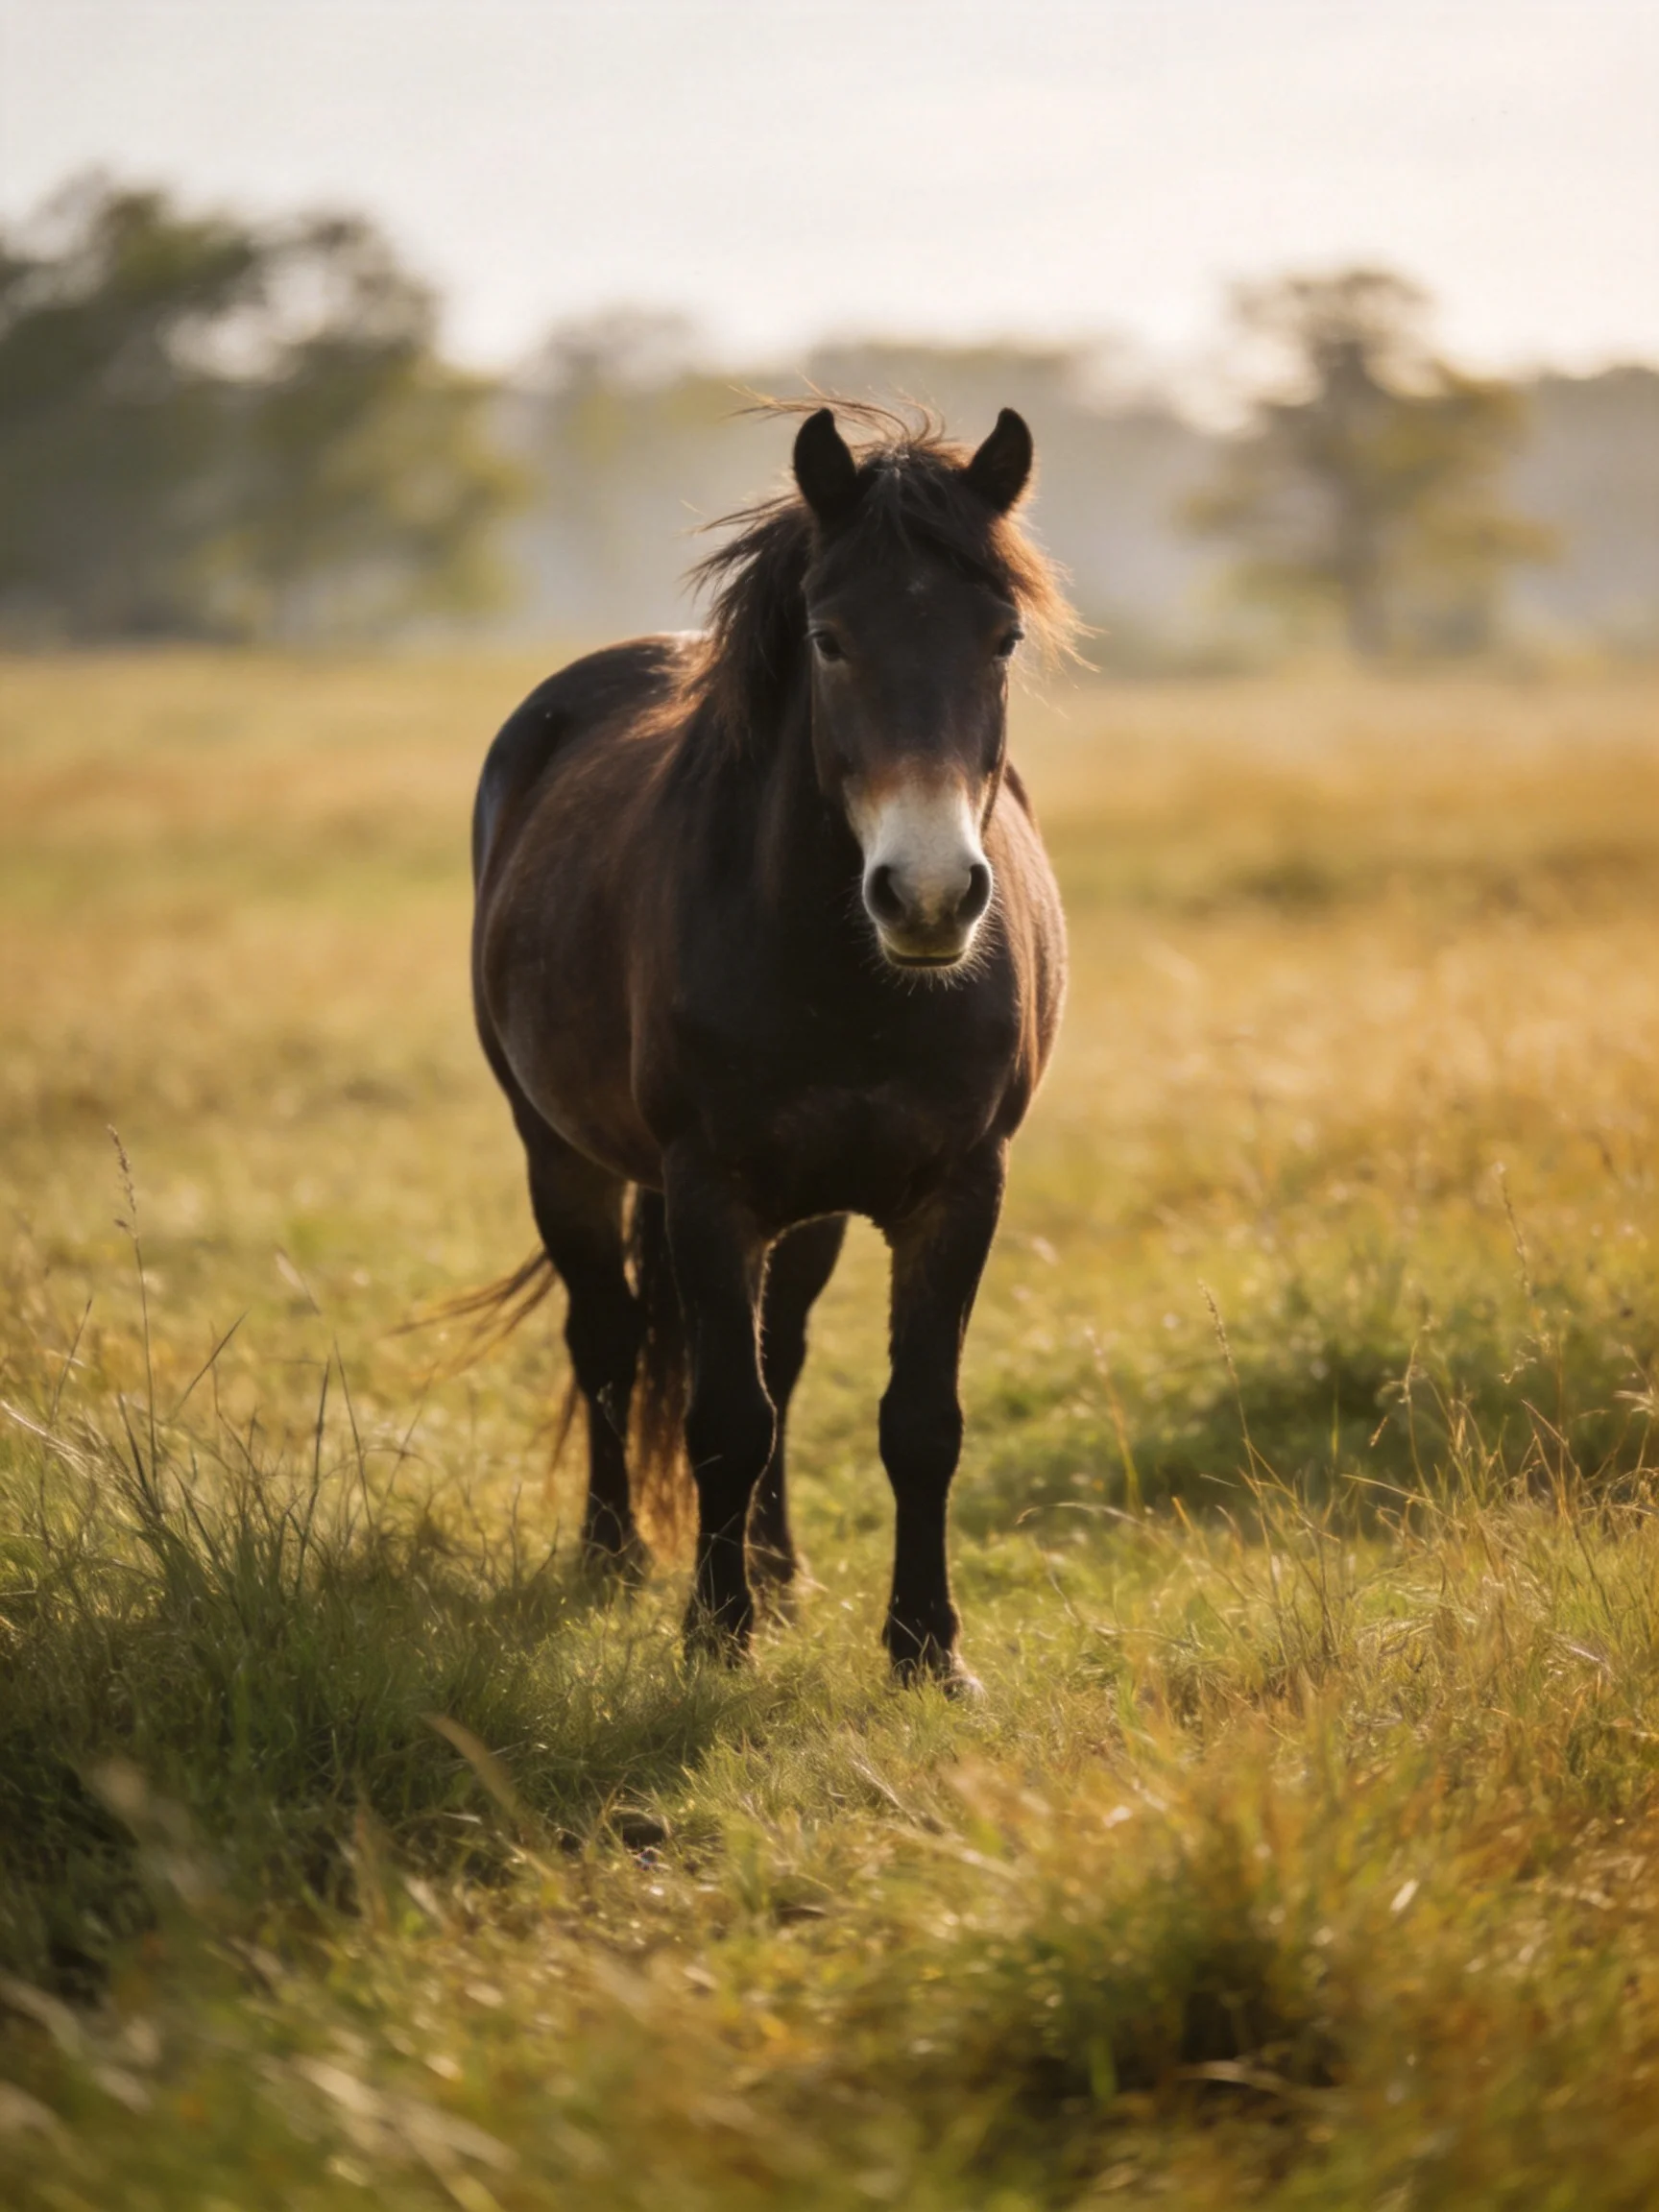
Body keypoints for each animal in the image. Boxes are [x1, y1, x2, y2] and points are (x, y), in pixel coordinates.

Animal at [469, 402, 1073, 1689]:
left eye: (1001, 639)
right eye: (830, 640)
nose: (930, 897)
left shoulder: (962, 1187)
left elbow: (917, 1420)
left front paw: (926, 1650)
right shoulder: (708, 1186)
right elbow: (721, 1417)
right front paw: (715, 1634)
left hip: (815, 1206)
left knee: (779, 1352)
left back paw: (784, 1571)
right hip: (560, 1152)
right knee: (608, 1339)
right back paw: (614, 1560)